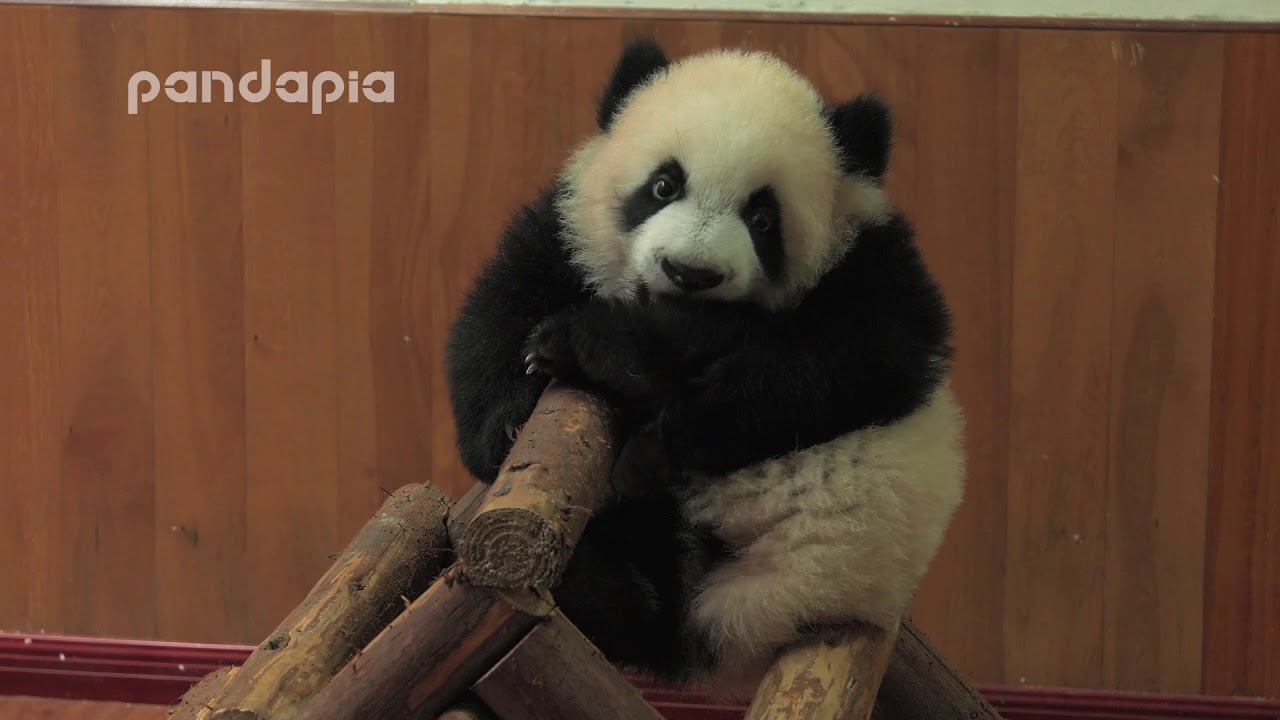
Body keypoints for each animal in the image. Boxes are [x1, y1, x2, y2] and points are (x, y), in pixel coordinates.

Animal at [444, 38, 966, 699]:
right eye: (664, 185)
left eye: (763, 218)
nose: (689, 273)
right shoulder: (569, 227)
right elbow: (502, 302)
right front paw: (507, 423)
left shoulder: (874, 270)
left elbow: (842, 364)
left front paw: (610, 354)